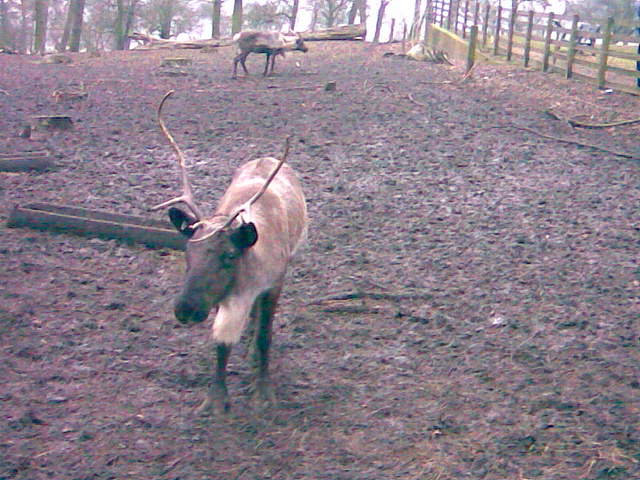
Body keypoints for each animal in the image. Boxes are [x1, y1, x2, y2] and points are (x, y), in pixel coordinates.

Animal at [152, 91, 308, 413]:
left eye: (229, 256)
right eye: (188, 253)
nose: (185, 309)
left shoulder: (273, 284)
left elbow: (265, 337)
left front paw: (263, 391)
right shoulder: (225, 296)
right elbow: (222, 343)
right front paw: (216, 399)